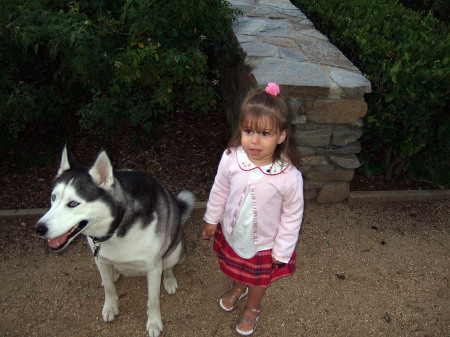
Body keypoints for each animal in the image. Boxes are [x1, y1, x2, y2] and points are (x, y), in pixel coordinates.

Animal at [34, 146, 193, 336]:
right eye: (53, 197)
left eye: (73, 203)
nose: (39, 228)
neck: (115, 228)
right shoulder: (99, 258)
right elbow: (109, 288)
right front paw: (110, 307)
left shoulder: (154, 267)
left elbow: (153, 300)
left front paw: (154, 322)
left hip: (175, 250)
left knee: (168, 266)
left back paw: (169, 280)